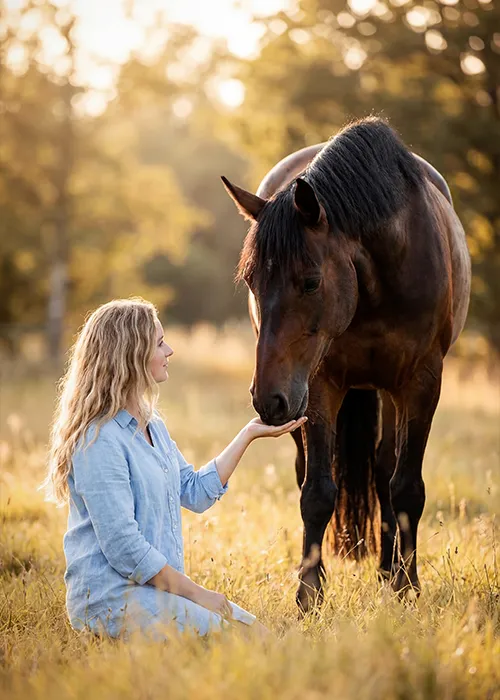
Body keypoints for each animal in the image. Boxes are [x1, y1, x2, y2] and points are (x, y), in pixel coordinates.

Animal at [222, 117, 471, 613]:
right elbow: (317, 492)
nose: (267, 400)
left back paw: (389, 571)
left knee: (383, 470)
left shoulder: (421, 383)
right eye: (251, 281)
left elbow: (406, 488)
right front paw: (308, 596)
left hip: (387, 393)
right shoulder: (319, 385)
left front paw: (407, 587)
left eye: (310, 281)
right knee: (313, 472)